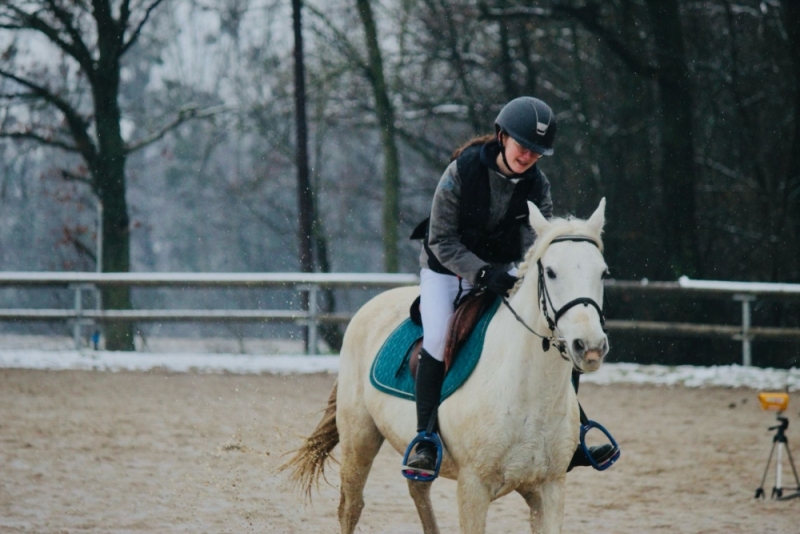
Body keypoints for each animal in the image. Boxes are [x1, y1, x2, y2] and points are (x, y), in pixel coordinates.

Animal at [284, 200, 608, 534]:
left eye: (603, 273)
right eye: (552, 272)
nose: (590, 347)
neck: (529, 392)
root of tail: (371, 305)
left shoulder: (550, 488)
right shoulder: (473, 486)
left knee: (417, 491)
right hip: (358, 439)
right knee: (351, 506)